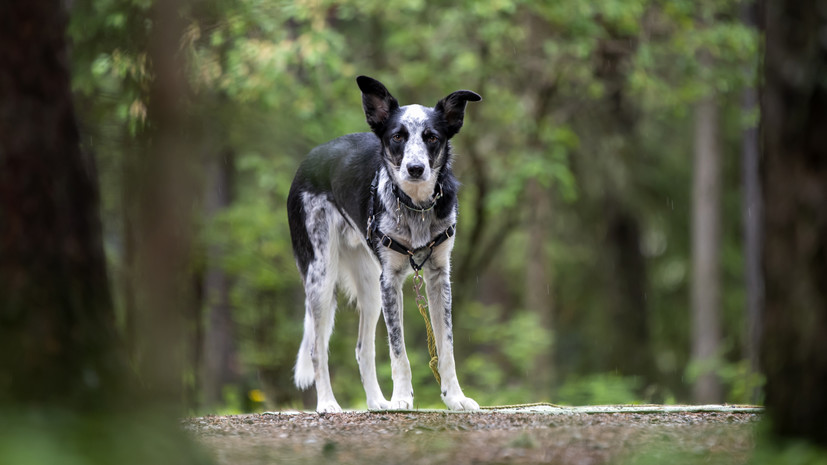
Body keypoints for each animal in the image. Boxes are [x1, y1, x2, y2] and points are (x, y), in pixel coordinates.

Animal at [286, 77, 482, 414]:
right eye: (397, 137)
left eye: (432, 137)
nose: (415, 168)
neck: (416, 208)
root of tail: (308, 161)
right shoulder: (391, 280)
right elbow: (398, 350)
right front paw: (403, 398)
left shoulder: (438, 279)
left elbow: (447, 348)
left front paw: (454, 397)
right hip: (321, 277)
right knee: (316, 350)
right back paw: (327, 403)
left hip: (370, 287)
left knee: (362, 349)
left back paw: (377, 402)